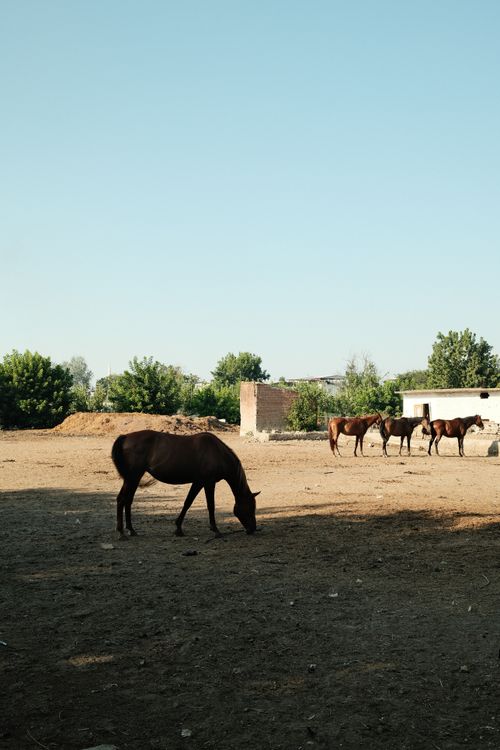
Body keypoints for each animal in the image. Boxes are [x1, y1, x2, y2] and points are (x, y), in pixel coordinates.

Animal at [111, 430, 259, 538]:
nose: (253, 529)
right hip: (133, 477)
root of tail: (126, 437)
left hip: (132, 478)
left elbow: (188, 502)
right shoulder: (209, 483)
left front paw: (178, 528)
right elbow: (210, 506)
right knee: (122, 499)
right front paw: (215, 530)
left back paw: (131, 530)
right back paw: (121, 532)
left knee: (127, 500)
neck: (217, 453)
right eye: (250, 507)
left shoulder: (198, 482)